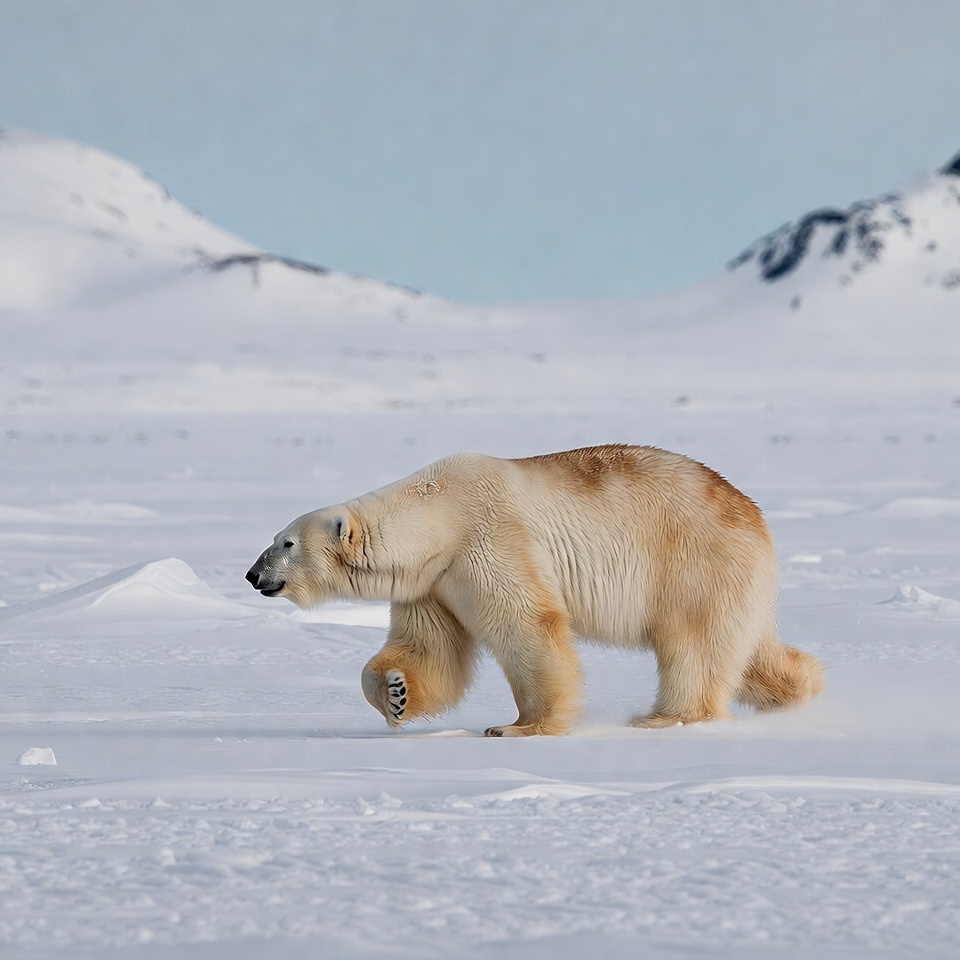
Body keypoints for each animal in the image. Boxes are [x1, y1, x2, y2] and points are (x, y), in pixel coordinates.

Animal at [246, 445, 823, 736]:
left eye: (285, 542)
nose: (253, 575)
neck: (438, 515)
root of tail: (753, 516)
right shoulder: (433, 580)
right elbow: (431, 647)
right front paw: (394, 693)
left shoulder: (488, 539)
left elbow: (525, 624)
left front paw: (519, 727)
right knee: (751, 651)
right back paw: (802, 688)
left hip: (694, 561)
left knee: (694, 642)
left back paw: (665, 716)